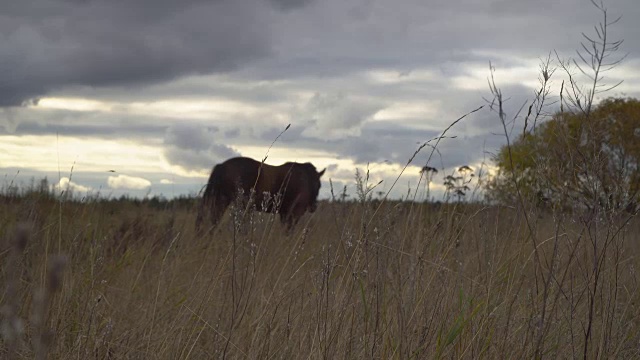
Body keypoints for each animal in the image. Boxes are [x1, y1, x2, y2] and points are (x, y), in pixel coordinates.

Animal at [195, 157, 324, 231]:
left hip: (220, 199)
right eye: (318, 185)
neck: (306, 179)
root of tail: (221, 166)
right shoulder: (294, 212)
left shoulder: (284, 213)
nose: (313, 206)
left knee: (213, 219)